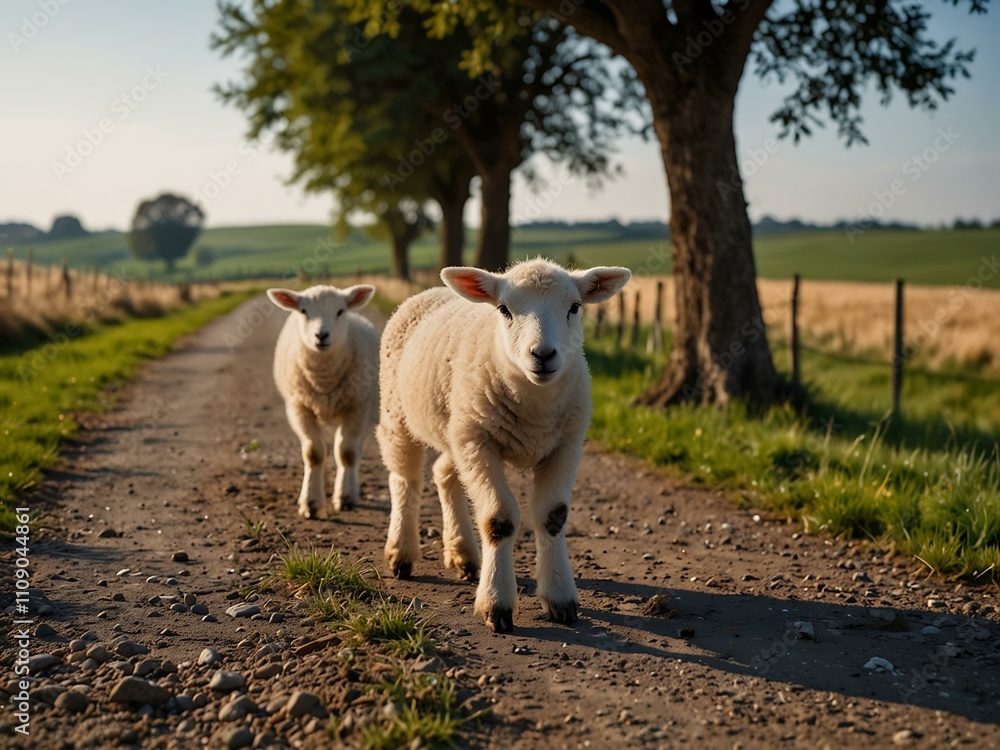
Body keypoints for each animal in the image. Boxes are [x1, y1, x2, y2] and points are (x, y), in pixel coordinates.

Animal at [267, 284, 379, 518]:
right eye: (303, 311)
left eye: (340, 311)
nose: (321, 335)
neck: (324, 378)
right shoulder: (298, 407)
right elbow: (313, 453)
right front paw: (310, 502)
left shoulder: (357, 407)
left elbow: (346, 453)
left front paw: (344, 497)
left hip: (368, 407)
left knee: (355, 450)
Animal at [378, 258, 631, 632]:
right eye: (503, 309)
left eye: (574, 307)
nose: (542, 354)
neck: (534, 407)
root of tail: (429, 291)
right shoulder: (479, 444)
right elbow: (498, 519)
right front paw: (496, 603)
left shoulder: (567, 445)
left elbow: (553, 516)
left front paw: (560, 598)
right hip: (401, 414)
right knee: (405, 481)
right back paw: (402, 552)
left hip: (458, 427)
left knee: (444, 474)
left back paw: (463, 555)